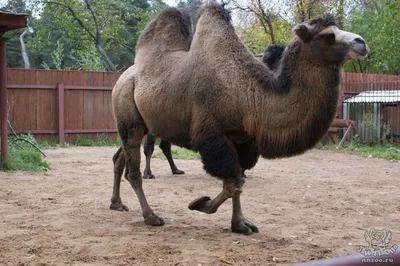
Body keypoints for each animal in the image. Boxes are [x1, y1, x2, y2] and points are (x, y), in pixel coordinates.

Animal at [115, 3, 368, 234]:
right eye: (327, 35)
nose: (361, 42)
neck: (249, 97)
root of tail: (123, 77)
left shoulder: (243, 140)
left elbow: (238, 182)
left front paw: (240, 224)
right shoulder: (214, 136)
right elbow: (233, 183)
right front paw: (200, 204)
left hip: (142, 124)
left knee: (120, 158)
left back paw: (116, 204)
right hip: (129, 117)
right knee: (133, 170)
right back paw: (150, 216)